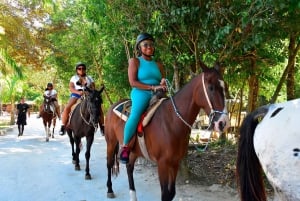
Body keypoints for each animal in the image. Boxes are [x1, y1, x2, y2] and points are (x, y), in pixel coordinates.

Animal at [105, 62, 230, 199]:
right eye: (211, 87)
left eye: (225, 87)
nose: (223, 123)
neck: (172, 121)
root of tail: (112, 107)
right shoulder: (162, 164)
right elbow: (165, 194)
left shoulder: (175, 162)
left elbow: (171, 193)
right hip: (111, 142)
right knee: (109, 163)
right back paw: (110, 190)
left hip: (134, 150)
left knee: (129, 167)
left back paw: (133, 196)